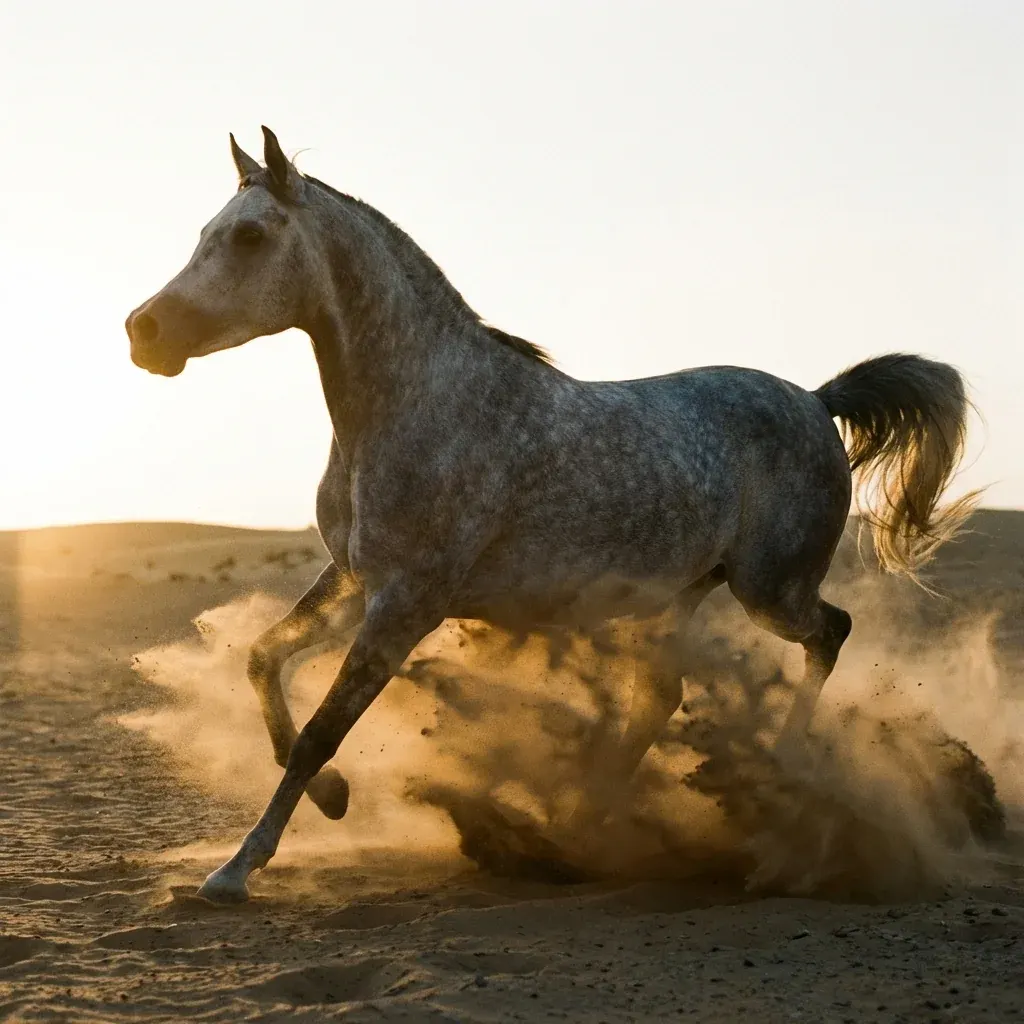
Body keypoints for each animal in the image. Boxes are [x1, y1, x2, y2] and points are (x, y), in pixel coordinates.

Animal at [125, 127, 977, 902]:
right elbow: (262, 659)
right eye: (205, 233)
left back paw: (781, 769)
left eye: (249, 235)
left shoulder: (406, 602)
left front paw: (236, 870)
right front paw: (333, 800)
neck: (420, 402)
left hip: (771, 588)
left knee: (830, 633)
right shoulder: (355, 578)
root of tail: (815, 399)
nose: (144, 332)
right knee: (656, 700)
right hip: (675, 597)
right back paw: (583, 823)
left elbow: (318, 733)